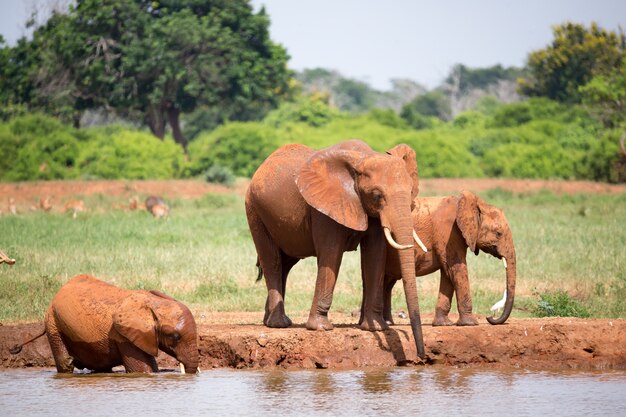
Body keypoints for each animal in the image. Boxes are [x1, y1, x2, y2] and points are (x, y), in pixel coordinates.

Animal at [11, 274, 199, 372]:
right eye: (175, 337)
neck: (153, 303)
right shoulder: (124, 336)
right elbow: (142, 370)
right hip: (52, 322)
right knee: (66, 362)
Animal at [246, 140, 426, 358]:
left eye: (411, 192)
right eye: (376, 195)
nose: (421, 356)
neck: (363, 159)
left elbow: (375, 256)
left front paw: (376, 328)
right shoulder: (324, 207)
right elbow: (331, 254)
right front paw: (320, 328)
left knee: (285, 265)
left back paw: (272, 322)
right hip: (254, 210)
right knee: (272, 262)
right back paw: (278, 324)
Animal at [378, 190, 516, 326]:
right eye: (499, 234)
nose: (489, 318)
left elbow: (448, 273)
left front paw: (443, 324)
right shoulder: (448, 232)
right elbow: (457, 269)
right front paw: (470, 323)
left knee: (387, 283)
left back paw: (388, 323)